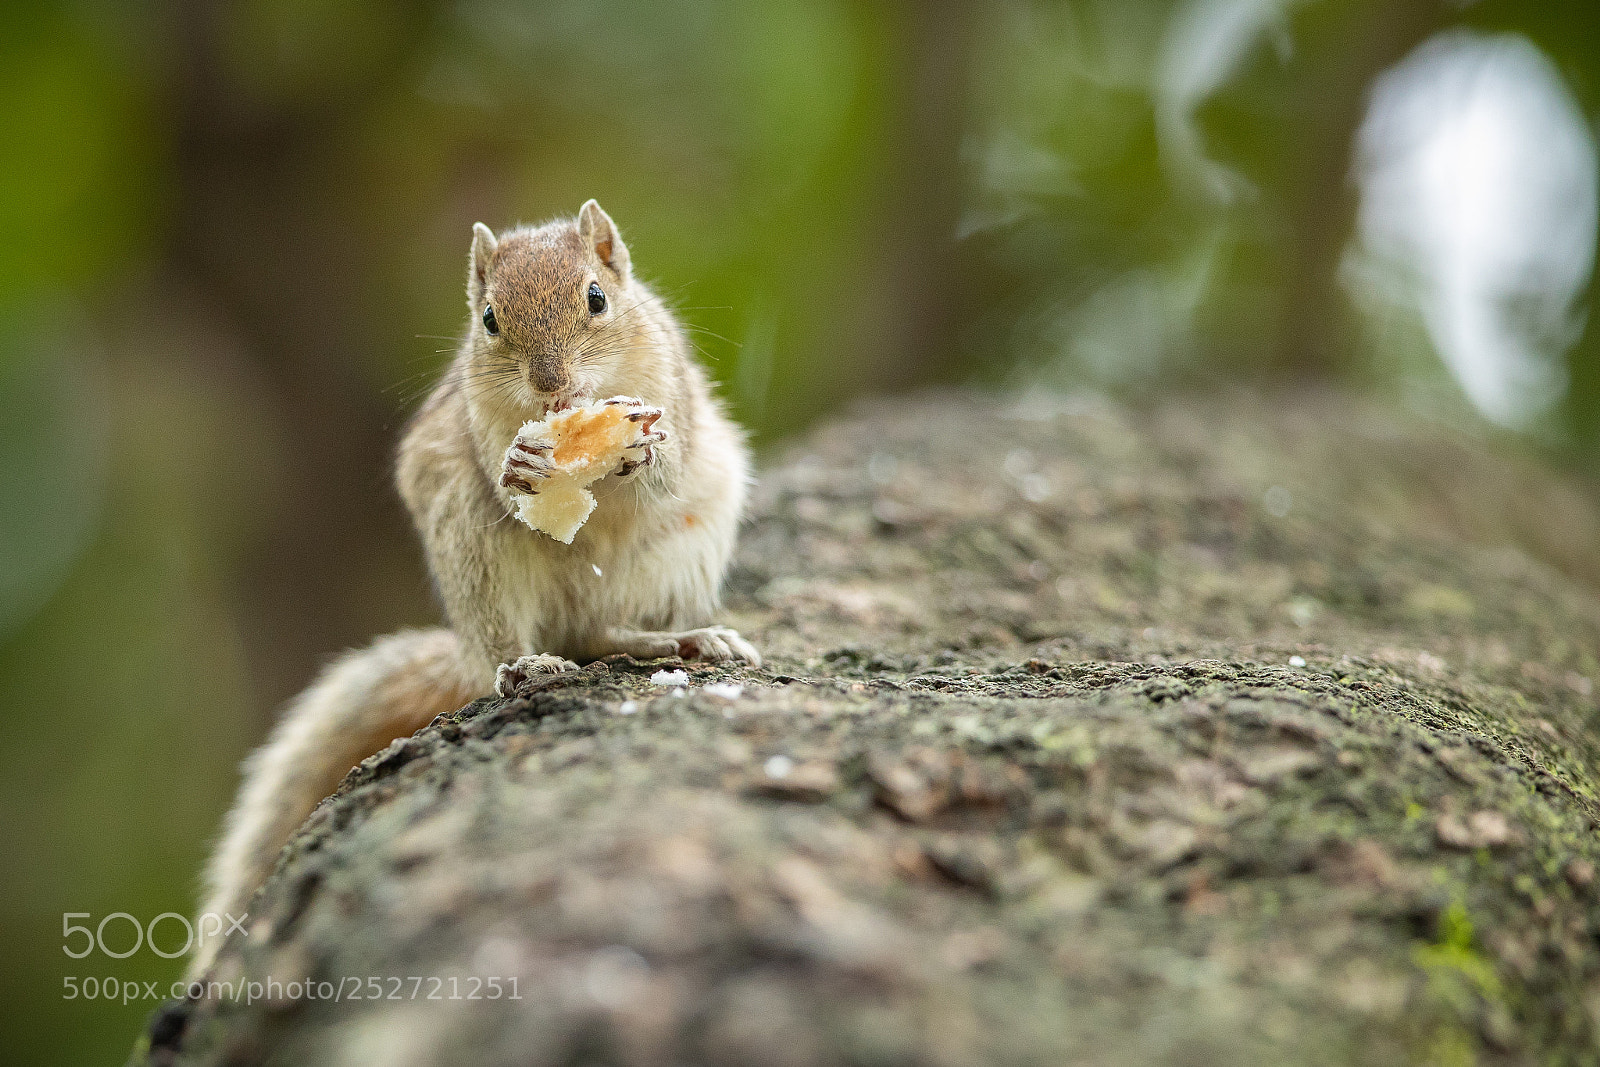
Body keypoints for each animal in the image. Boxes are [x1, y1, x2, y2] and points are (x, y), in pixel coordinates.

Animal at [190, 200, 758, 979]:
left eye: (597, 298)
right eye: (489, 319)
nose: (551, 386)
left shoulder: (671, 378)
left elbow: (667, 462)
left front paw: (645, 449)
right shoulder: (474, 421)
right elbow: (503, 473)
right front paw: (525, 460)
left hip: (691, 537)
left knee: (604, 631)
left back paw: (683, 638)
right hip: (469, 545)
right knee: (543, 638)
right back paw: (523, 664)